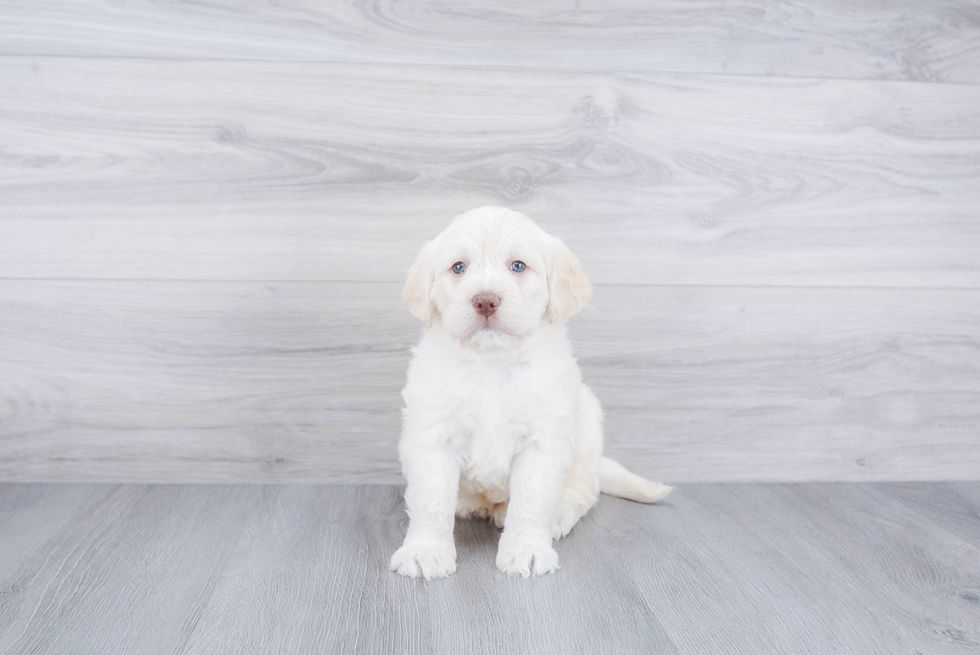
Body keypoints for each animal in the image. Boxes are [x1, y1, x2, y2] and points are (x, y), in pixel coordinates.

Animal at [390, 206, 672, 580]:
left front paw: (527, 550)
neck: (492, 363)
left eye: (518, 266)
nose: (485, 301)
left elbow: (531, 501)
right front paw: (425, 551)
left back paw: (554, 515)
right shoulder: (433, 436)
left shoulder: (543, 440)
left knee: (583, 492)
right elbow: (430, 499)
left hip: (587, 427)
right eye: (459, 267)